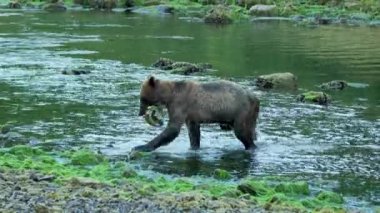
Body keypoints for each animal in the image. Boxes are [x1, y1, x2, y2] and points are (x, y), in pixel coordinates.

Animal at [132, 75, 260, 152]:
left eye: (142, 98)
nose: (140, 113)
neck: (169, 95)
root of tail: (255, 98)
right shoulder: (191, 115)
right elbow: (193, 133)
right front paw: (194, 147)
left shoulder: (179, 104)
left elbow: (172, 129)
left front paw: (141, 146)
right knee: (251, 131)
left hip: (241, 111)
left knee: (241, 132)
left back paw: (250, 146)